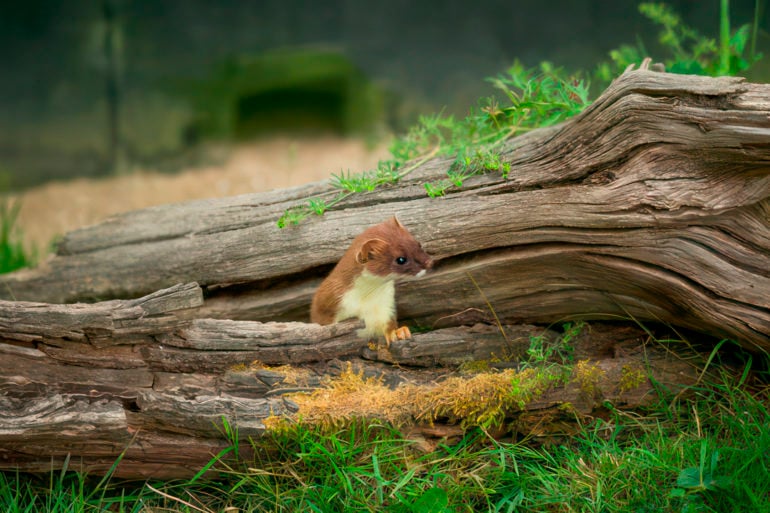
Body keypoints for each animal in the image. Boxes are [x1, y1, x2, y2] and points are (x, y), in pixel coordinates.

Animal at [310, 216, 432, 344]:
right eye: (401, 259)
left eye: (418, 244)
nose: (429, 262)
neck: (367, 300)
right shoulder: (326, 304)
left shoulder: (386, 304)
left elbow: (389, 324)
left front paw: (399, 332)